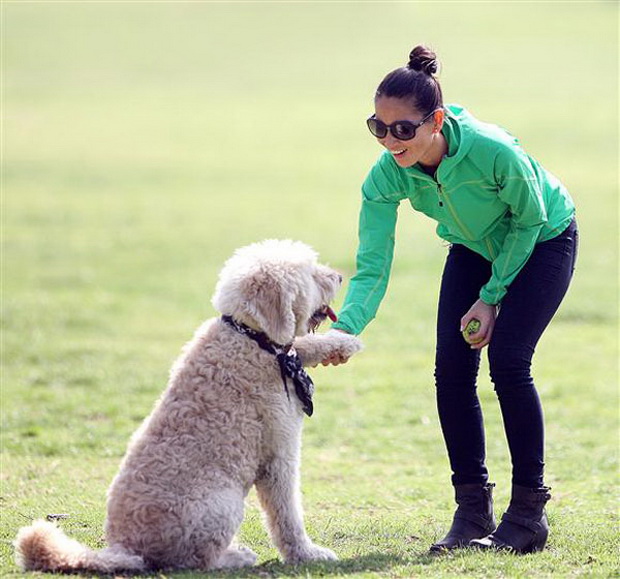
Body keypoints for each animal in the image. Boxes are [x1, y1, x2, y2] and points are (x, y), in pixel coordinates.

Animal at [15, 238, 364, 572]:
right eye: (310, 273)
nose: (339, 276)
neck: (249, 336)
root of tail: (125, 549)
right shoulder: (278, 455)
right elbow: (286, 515)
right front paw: (307, 554)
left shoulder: (284, 353)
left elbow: (301, 345)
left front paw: (342, 342)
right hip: (223, 506)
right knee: (195, 560)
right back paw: (235, 558)